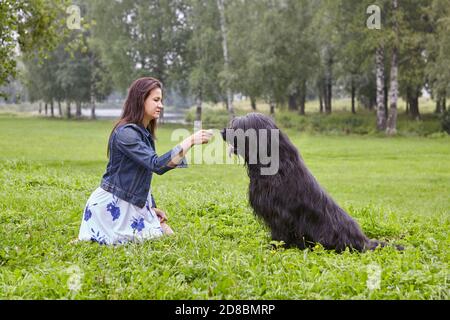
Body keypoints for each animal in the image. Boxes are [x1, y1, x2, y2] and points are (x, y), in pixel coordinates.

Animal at [221, 112, 400, 252]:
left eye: (240, 126)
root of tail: (364, 242)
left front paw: (274, 247)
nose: (222, 132)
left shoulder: (280, 213)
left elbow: (280, 233)